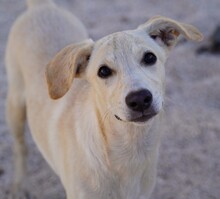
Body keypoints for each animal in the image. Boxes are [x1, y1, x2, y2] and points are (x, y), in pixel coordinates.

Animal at [5, 0, 203, 198]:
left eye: (149, 57)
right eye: (104, 71)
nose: (139, 99)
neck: (131, 149)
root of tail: (40, 6)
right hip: (15, 106)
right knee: (20, 147)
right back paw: (20, 186)